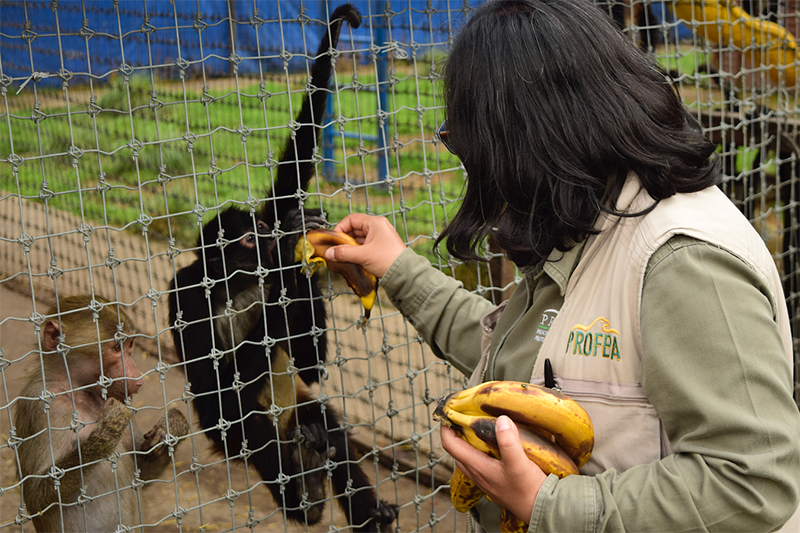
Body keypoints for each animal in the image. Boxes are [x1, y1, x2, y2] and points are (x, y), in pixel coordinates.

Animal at [12, 296, 189, 532]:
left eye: (129, 345)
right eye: (115, 348)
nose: (138, 379)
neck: (79, 391)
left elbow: (142, 470)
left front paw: (172, 427)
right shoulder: (41, 407)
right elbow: (36, 495)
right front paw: (108, 430)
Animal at [168, 5, 396, 532]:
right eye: (249, 238)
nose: (271, 239)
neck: (234, 283)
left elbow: (311, 366)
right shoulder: (184, 291)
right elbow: (213, 379)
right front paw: (284, 273)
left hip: (299, 411)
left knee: (325, 422)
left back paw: (363, 509)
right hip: (232, 437)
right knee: (252, 428)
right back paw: (304, 499)